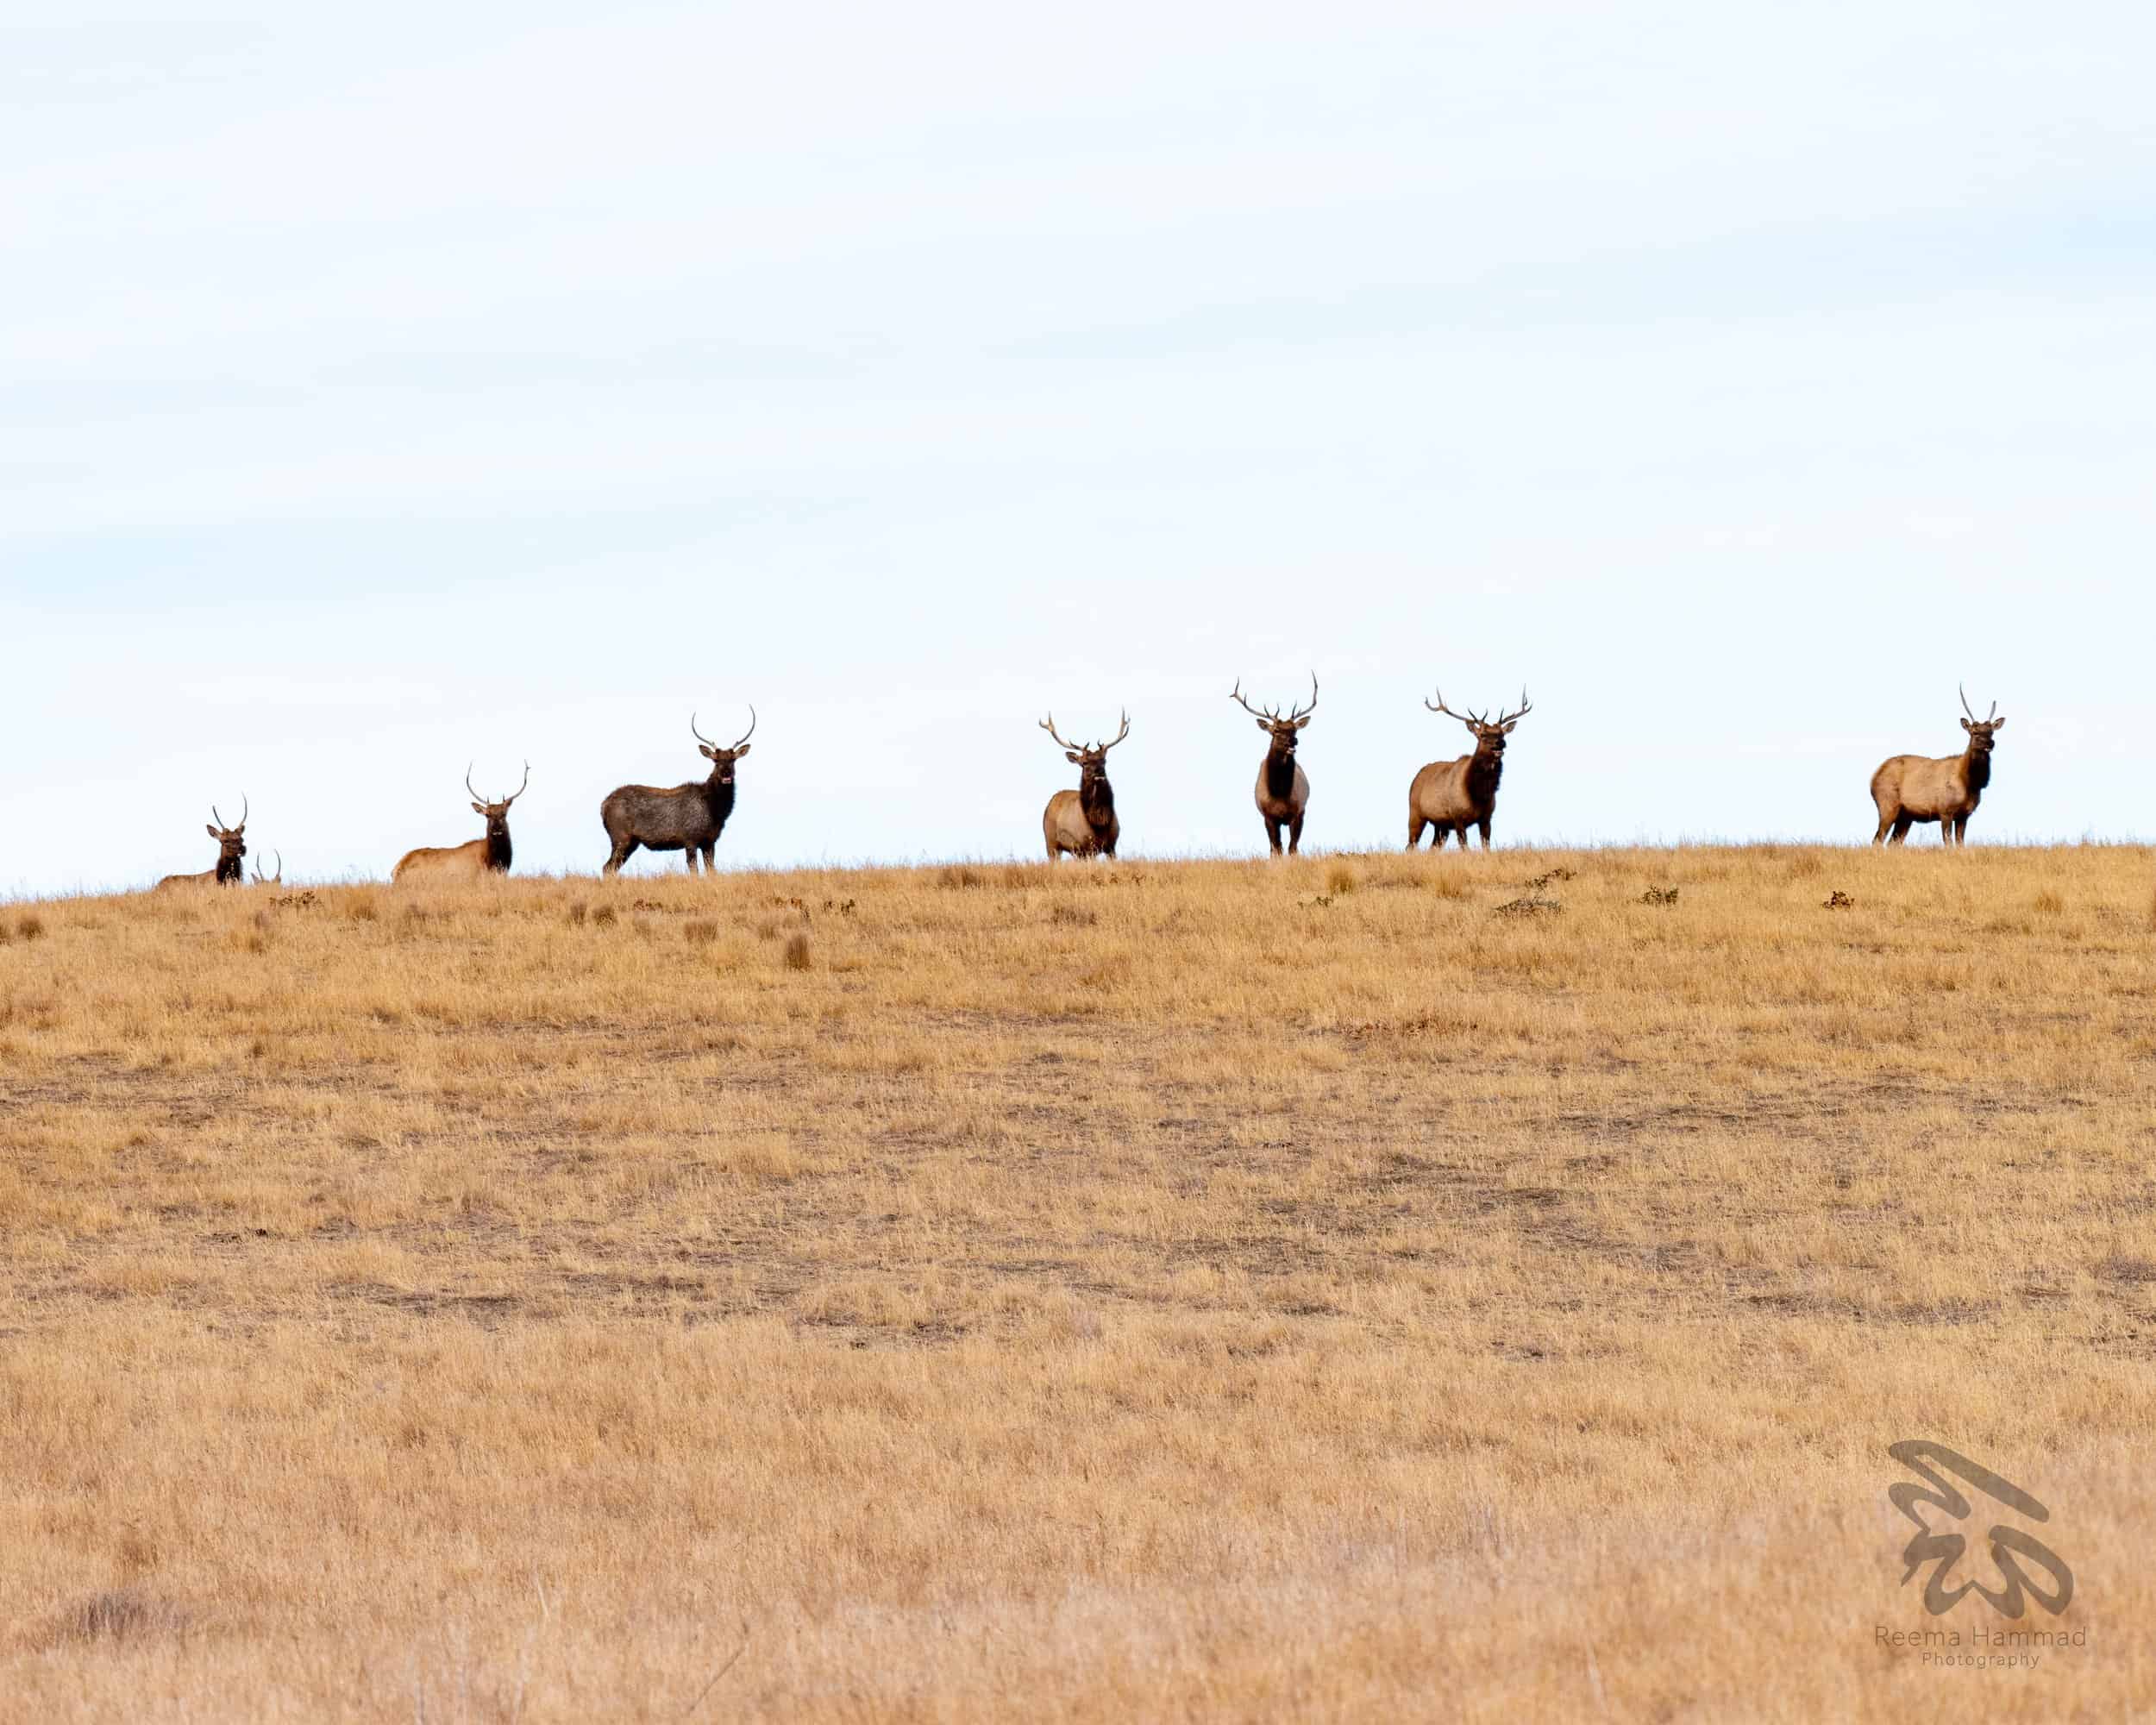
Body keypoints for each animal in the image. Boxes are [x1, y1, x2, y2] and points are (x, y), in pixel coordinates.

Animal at [600, 709, 754, 876]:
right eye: (716, 761)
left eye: (733, 760)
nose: (726, 774)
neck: (715, 810)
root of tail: (603, 806)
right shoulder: (690, 838)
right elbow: (694, 872)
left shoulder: (709, 841)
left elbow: (711, 871)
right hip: (620, 837)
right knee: (607, 867)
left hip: (631, 842)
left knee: (610, 868)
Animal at [1039, 711, 1129, 859]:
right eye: (1084, 763)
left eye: (1104, 761)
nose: (1099, 771)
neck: (1099, 823)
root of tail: (1052, 800)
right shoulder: (1084, 846)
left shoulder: (1111, 846)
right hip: (1051, 842)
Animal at [1229, 672, 1317, 855]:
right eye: (1276, 730)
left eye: (1294, 729)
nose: (1293, 741)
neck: (1280, 794)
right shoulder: (1268, 816)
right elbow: (1276, 848)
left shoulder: (1298, 812)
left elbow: (1292, 848)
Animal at [1408, 688, 1532, 850]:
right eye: (1483, 735)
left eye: (1502, 734)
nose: (1501, 743)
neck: (1478, 793)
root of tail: (1416, 777)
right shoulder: (1458, 817)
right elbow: (1465, 848)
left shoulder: (1486, 818)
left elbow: (1486, 848)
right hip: (1415, 812)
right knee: (1410, 846)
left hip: (1441, 824)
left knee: (1433, 848)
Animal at [1871, 686, 2006, 845]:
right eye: (1975, 732)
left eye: (1991, 732)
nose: (1990, 743)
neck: (1970, 783)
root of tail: (1873, 777)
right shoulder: (1945, 810)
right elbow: (1948, 843)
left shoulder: (1964, 815)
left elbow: (1960, 844)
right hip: (1887, 805)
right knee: (1877, 840)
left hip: (1906, 816)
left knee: (1893, 842)